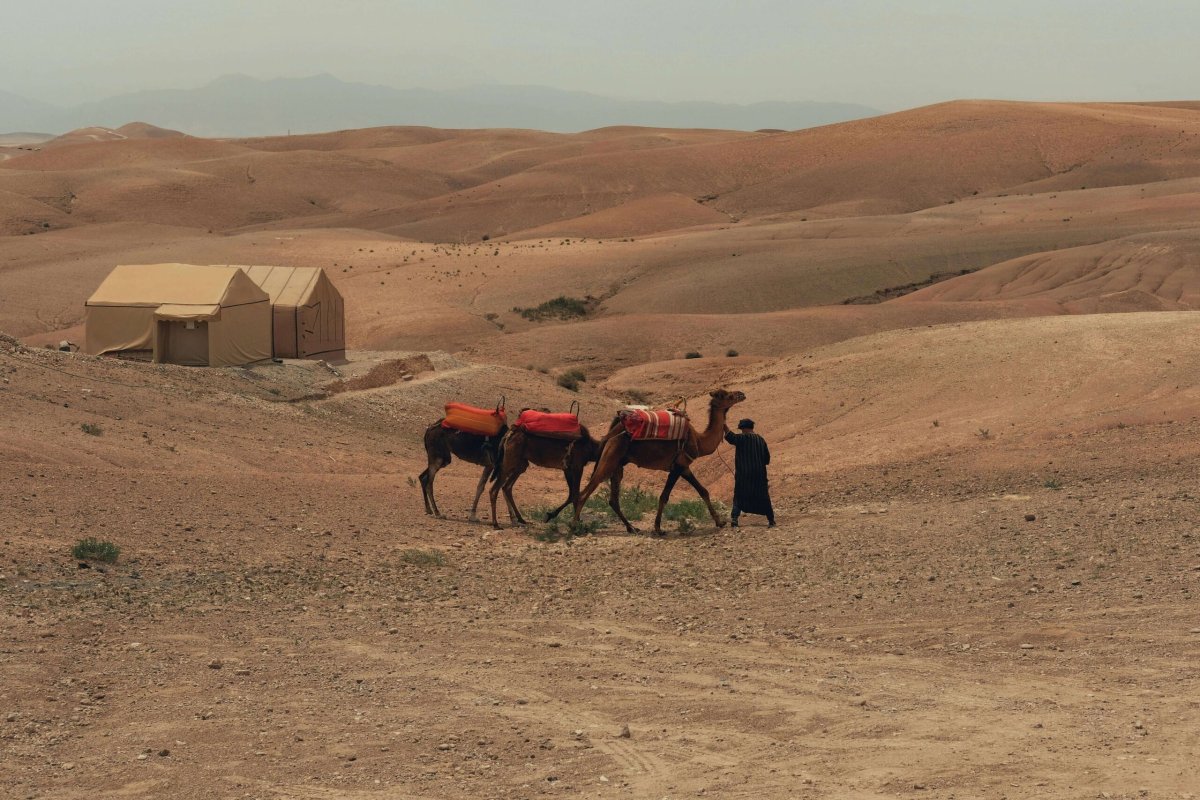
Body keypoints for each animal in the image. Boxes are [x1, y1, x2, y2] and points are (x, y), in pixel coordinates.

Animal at [573, 388, 748, 537]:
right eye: (728, 395)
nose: (741, 394)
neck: (699, 441)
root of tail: (611, 432)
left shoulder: (684, 467)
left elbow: (703, 491)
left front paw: (720, 522)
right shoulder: (677, 466)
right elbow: (664, 496)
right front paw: (658, 529)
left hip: (617, 465)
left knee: (613, 499)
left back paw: (632, 528)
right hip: (610, 458)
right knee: (584, 493)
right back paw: (576, 528)